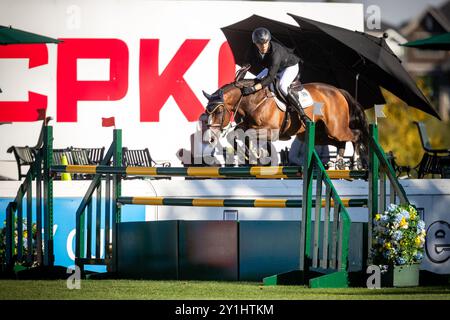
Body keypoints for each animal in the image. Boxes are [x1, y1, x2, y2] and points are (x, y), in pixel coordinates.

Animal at [202, 78, 370, 170]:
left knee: (356, 136)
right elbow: (235, 134)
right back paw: (338, 164)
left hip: (336, 128)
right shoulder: (248, 126)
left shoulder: (272, 131)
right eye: (207, 112)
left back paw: (356, 164)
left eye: (218, 112)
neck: (252, 99)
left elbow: (247, 135)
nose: (210, 138)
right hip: (320, 134)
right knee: (340, 142)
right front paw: (251, 155)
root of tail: (339, 91)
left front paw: (255, 155)